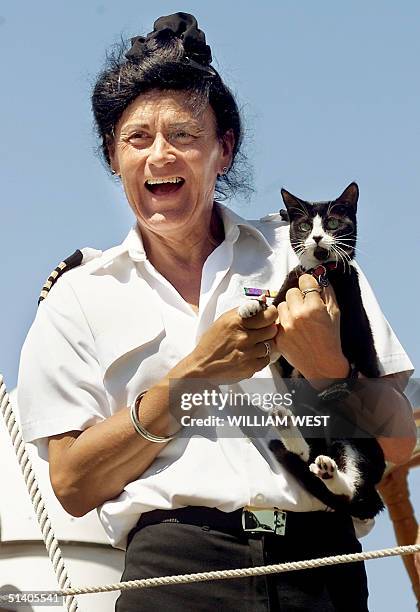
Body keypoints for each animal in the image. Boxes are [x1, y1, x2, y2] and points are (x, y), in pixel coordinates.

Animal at [238, 184, 386, 520]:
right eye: (305, 226)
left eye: (332, 223)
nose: (317, 238)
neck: (320, 272)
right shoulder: (290, 287)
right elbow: (274, 315)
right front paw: (252, 308)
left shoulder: (352, 321)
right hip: (306, 408)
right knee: (306, 454)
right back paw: (289, 431)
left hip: (358, 441)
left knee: (348, 489)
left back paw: (330, 472)